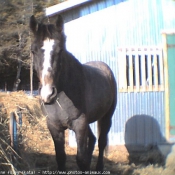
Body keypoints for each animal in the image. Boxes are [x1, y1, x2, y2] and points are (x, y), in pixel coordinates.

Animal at [29, 14, 117, 171]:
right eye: (33, 51)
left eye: (60, 51)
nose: (48, 94)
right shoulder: (54, 127)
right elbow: (61, 158)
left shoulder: (79, 124)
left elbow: (80, 159)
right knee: (93, 139)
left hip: (107, 116)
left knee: (101, 142)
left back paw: (99, 167)